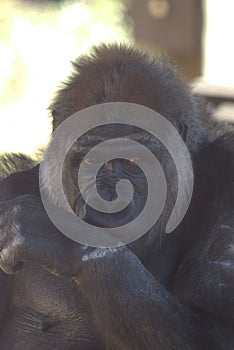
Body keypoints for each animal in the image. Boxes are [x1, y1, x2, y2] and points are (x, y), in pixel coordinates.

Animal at [0, 45, 233, 348]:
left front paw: (71, 242)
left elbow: (217, 332)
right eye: (89, 160)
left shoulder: (227, 179)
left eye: (134, 161)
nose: (108, 198)